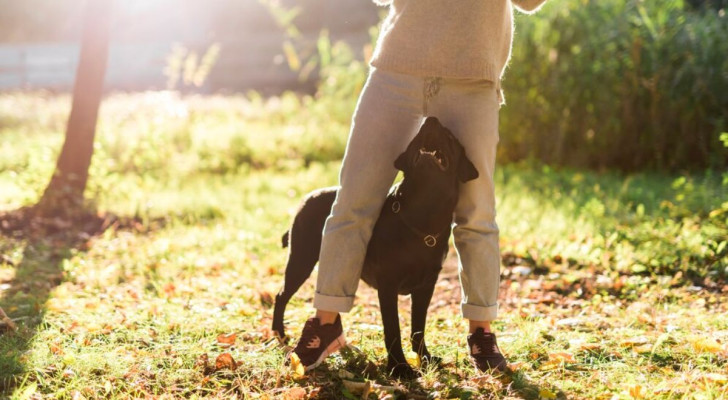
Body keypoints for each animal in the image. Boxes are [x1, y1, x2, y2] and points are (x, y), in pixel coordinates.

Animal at [272, 118, 478, 378]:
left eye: (450, 136)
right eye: (417, 134)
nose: (431, 120)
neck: (423, 213)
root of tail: (307, 197)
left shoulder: (426, 286)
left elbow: (418, 327)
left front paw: (425, 359)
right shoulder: (388, 285)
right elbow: (393, 329)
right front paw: (400, 367)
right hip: (301, 260)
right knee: (281, 296)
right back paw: (280, 335)